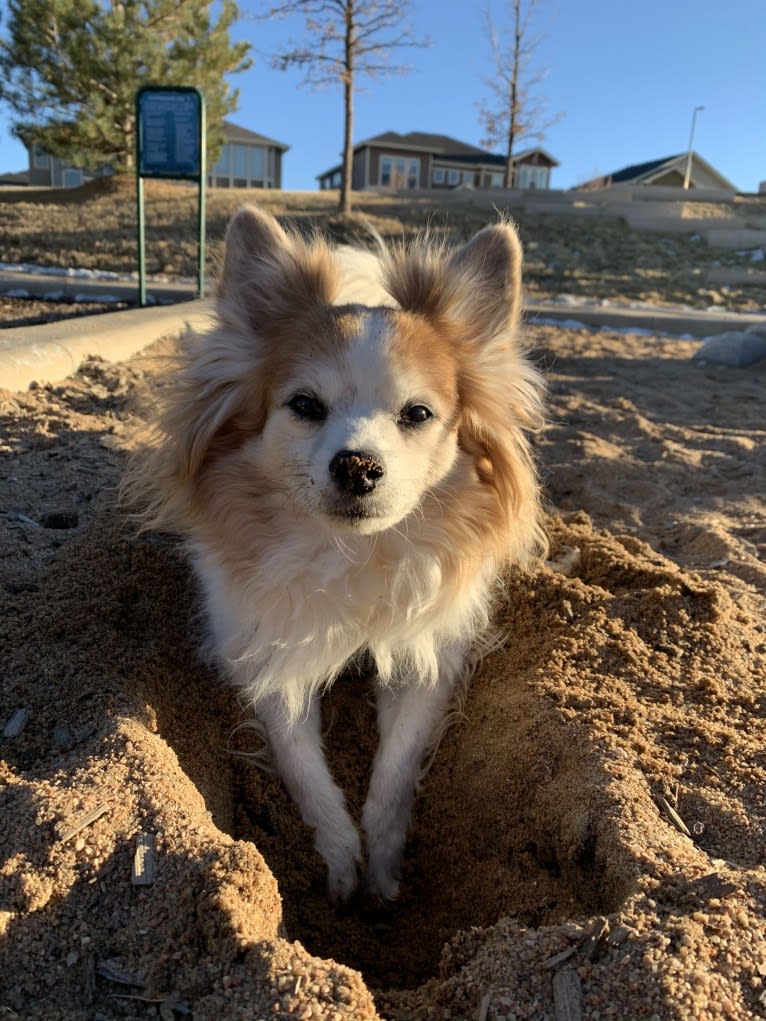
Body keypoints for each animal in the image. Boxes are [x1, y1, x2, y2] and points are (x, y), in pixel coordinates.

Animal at [133, 207, 551, 902]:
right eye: (305, 405)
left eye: (418, 414)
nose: (357, 464)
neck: (355, 554)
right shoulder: (269, 649)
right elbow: (303, 766)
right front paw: (340, 859)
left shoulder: (429, 653)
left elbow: (397, 765)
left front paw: (381, 864)